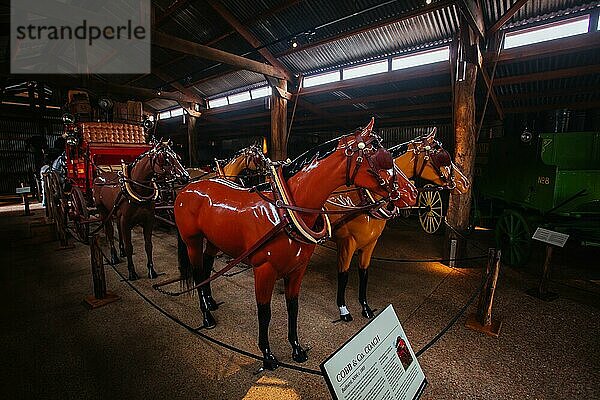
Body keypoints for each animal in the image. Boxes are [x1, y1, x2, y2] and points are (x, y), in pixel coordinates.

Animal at [94, 142, 189, 280]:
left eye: (177, 156)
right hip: (104, 212)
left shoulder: (148, 220)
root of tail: (100, 176)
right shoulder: (125, 221)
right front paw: (132, 272)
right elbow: (129, 246)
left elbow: (148, 245)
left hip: (116, 214)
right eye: (164, 158)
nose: (185, 176)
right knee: (110, 232)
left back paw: (121, 251)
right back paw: (114, 256)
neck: (138, 190)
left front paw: (151, 270)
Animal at [173, 120, 418, 370]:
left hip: (214, 240)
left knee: (206, 267)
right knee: (198, 272)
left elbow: (293, 307)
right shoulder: (264, 270)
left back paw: (211, 303)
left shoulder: (298, 268)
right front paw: (268, 355)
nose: (412, 193)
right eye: (382, 157)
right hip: (192, 241)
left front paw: (297, 349)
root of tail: (188, 187)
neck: (284, 212)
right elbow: (265, 313)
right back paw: (206, 316)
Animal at [326, 128, 472, 322]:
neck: (362, 197)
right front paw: (343, 310)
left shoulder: (370, 243)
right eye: (442, 157)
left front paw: (366, 308)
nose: (465, 183)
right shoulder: (346, 243)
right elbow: (343, 276)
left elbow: (364, 274)